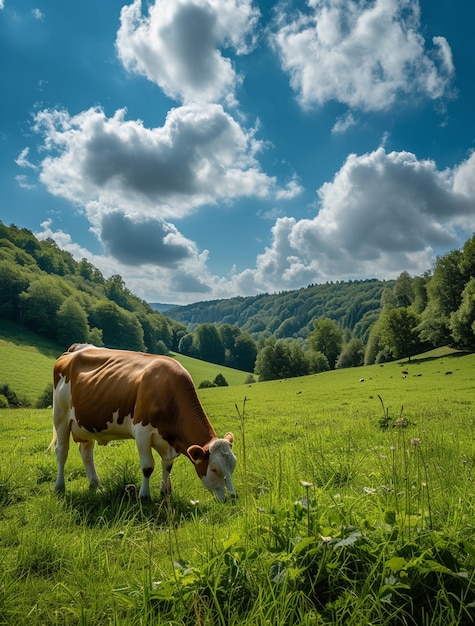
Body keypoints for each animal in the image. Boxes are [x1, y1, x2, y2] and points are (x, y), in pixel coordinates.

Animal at [51, 344, 237, 500]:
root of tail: (76, 348)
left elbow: (167, 466)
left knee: (86, 452)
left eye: (233, 466)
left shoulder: (168, 441)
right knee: (62, 451)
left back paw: (96, 485)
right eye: (214, 469)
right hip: (60, 417)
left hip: (85, 424)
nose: (233, 497)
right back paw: (59, 487)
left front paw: (165, 492)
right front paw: (144, 496)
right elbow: (148, 467)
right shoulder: (142, 432)